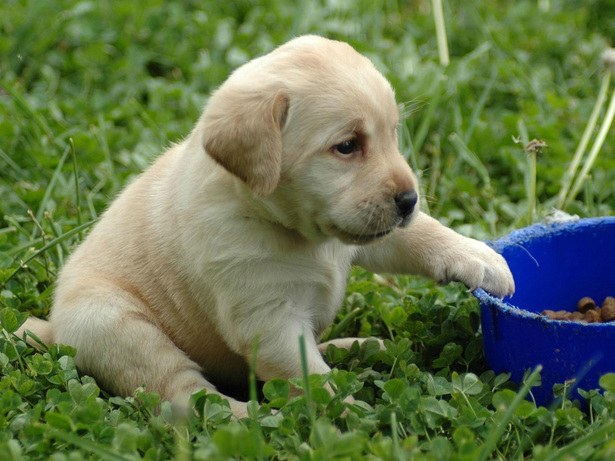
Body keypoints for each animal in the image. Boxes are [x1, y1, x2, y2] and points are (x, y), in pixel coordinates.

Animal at [18, 36, 516, 416]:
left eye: (393, 134)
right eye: (347, 146)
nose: (409, 199)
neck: (296, 231)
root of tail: (54, 328)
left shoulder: (365, 235)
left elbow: (419, 234)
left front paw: (480, 258)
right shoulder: (267, 318)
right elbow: (309, 377)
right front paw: (348, 414)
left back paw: (357, 345)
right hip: (115, 324)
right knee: (183, 396)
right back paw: (242, 418)